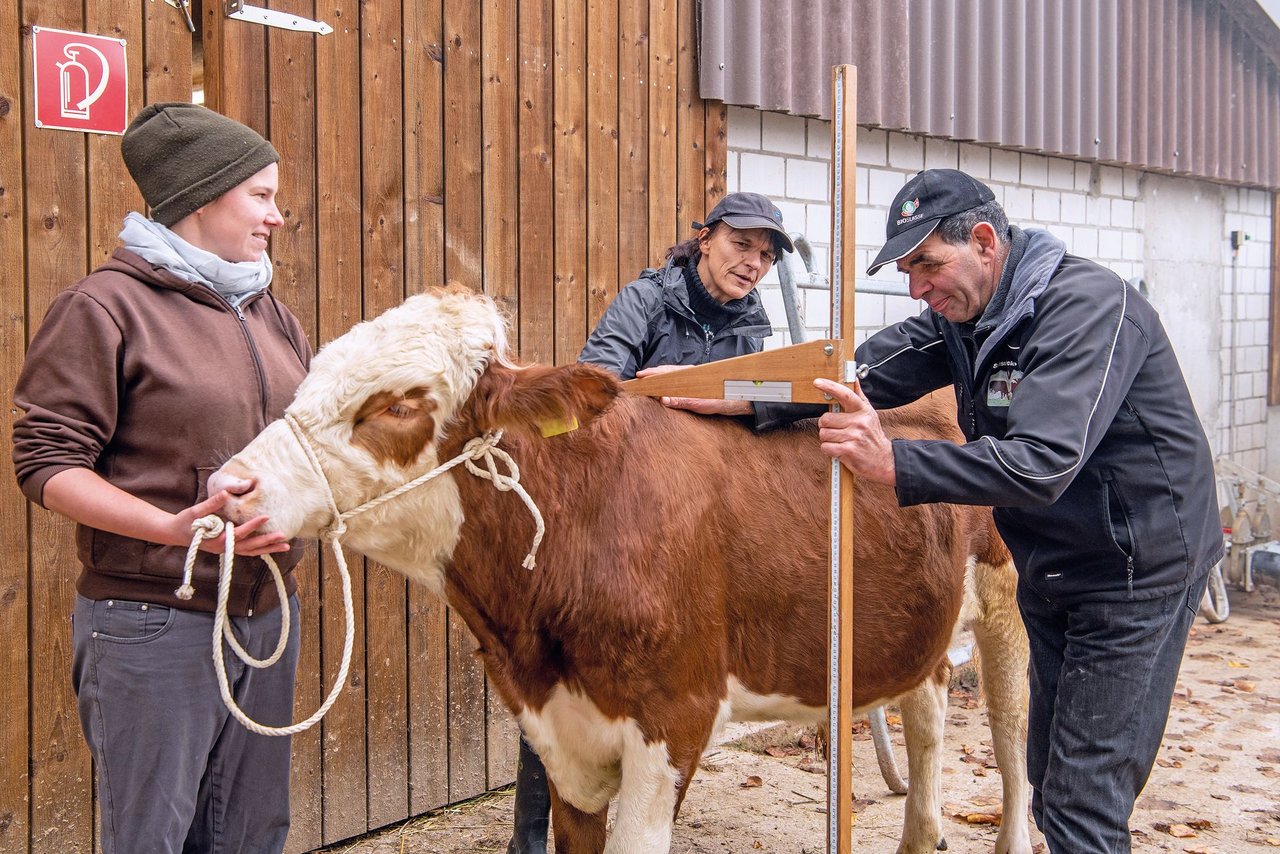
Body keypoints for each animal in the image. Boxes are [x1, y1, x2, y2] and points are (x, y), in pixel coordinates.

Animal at [209, 289, 1029, 854]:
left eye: (398, 405)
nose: (229, 488)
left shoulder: (676, 717)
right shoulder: (558, 733)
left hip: (1009, 607)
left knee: (1013, 737)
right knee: (928, 714)